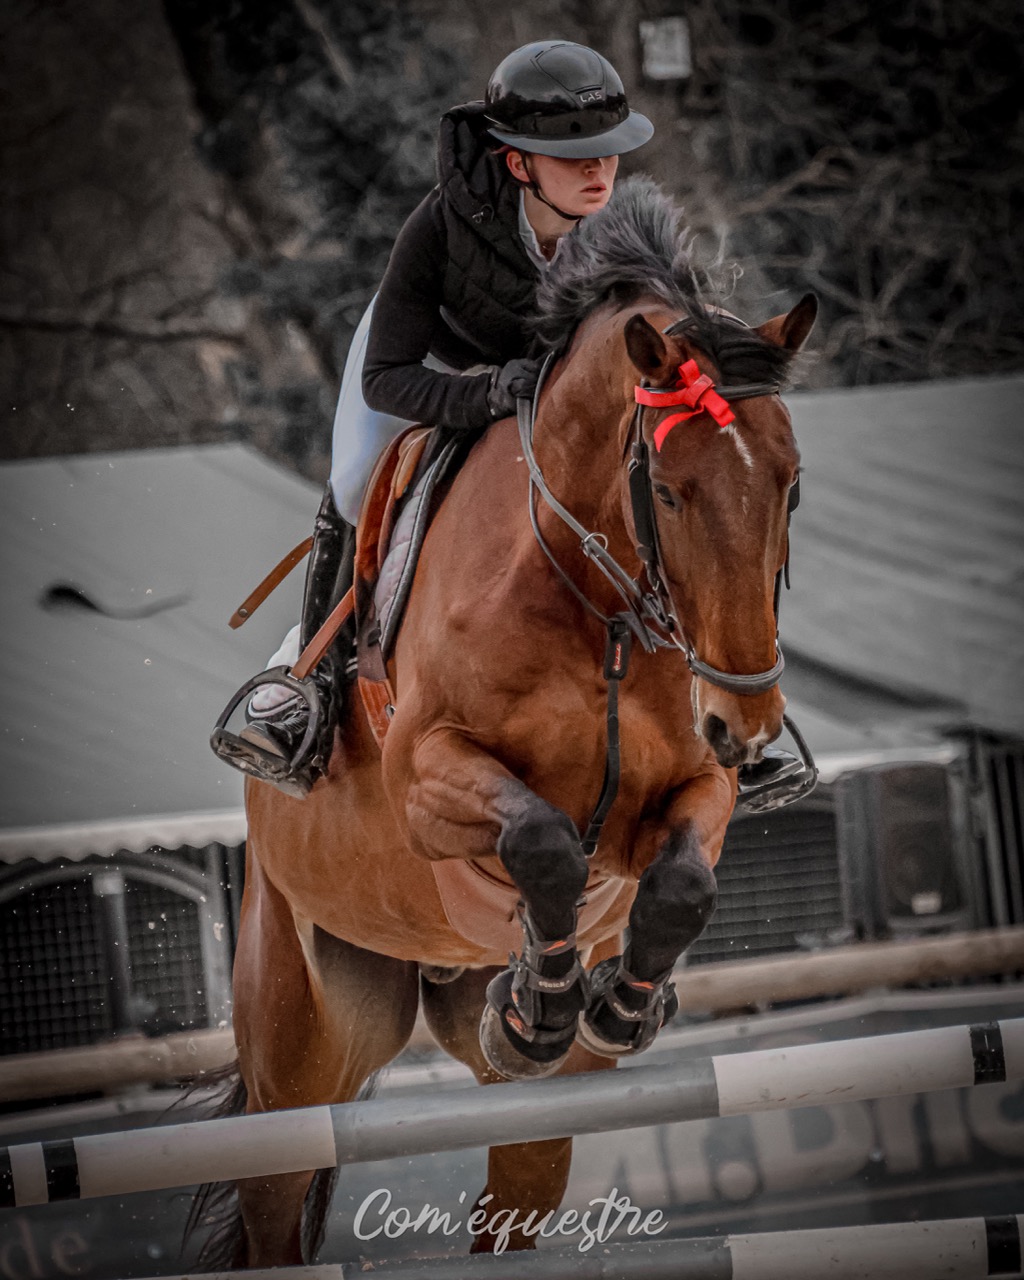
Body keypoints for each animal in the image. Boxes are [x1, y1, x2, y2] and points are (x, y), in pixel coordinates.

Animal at [202, 176, 816, 1266]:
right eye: (668, 489)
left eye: (788, 482)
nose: (747, 720)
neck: (594, 601)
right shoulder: (429, 777)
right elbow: (541, 838)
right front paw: (544, 999)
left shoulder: (692, 786)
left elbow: (682, 883)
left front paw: (611, 1005)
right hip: (299, 1048)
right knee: (276, 1194)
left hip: (514, 1108)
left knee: (511, 1202)